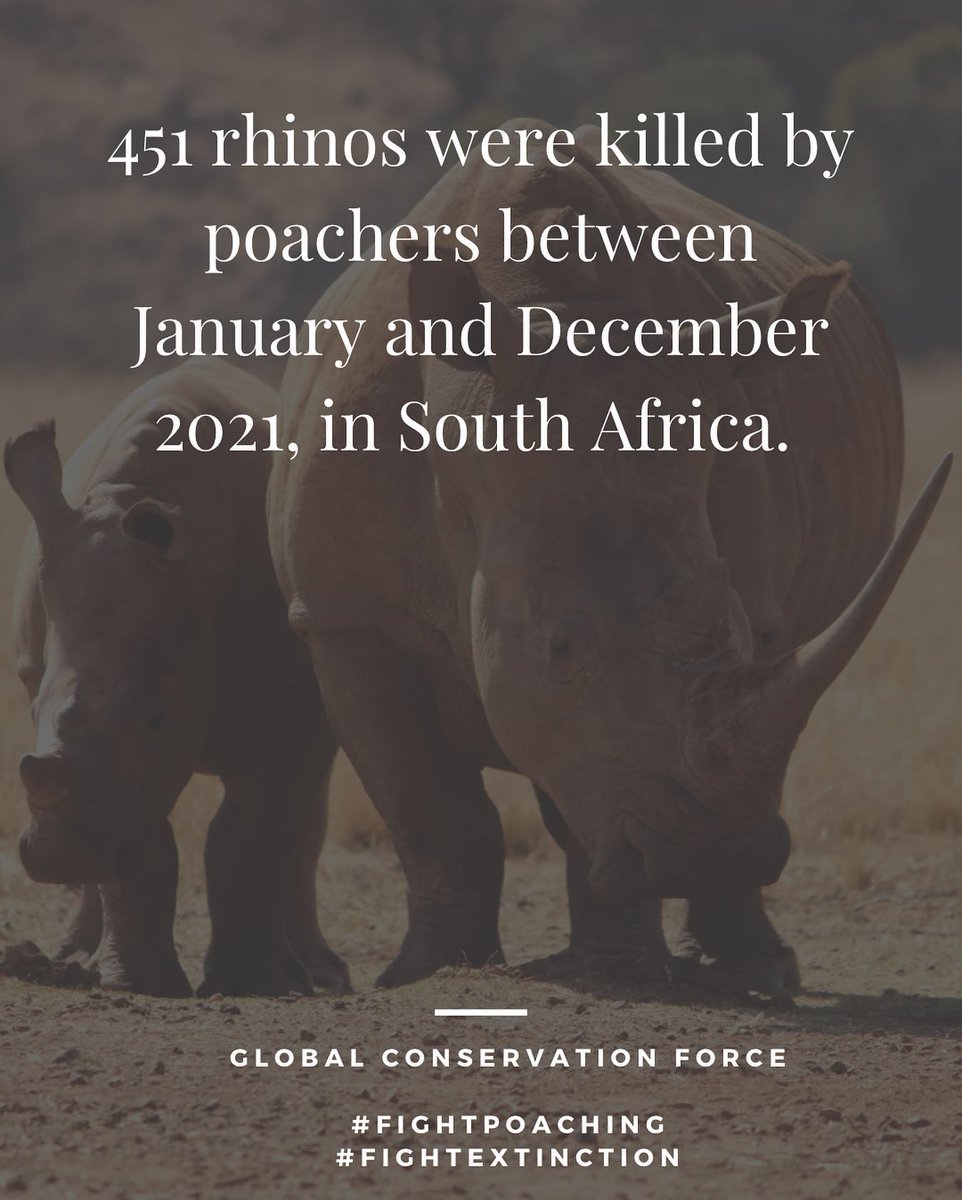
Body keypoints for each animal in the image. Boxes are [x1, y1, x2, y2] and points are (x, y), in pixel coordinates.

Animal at [6, 361, 347, 997]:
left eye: (156, 720)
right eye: (31, 710)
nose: (58, 859)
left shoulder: (285, 696)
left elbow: (252, 821)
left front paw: (256, 984)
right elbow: (136, 833)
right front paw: (137, 985)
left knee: (306, 799)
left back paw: (320, 974)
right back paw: (75, 957)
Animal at [269, 119, 950, 994]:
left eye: (734, 626)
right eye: (561, 649)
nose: (707, 853)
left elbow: (600, 772)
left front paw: (620, 968)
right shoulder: (344, 615)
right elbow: (430, 805)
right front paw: (425, 974)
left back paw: (759, 970)